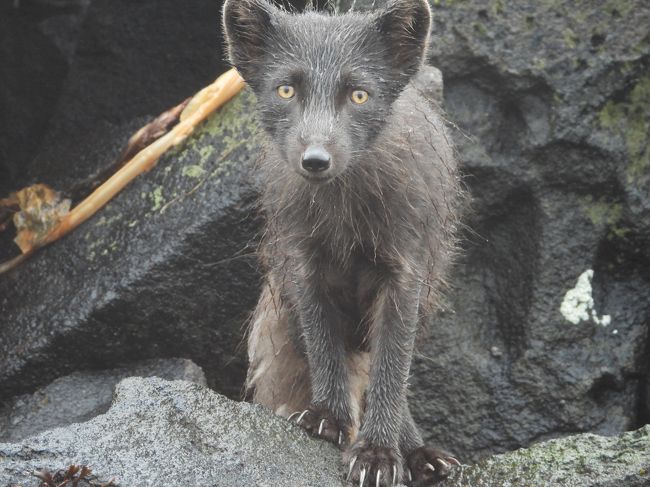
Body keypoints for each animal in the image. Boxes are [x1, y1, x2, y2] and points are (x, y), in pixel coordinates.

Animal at [224, 1, 466, 486]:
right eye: (285, 90)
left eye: (359, 95)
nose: (315, 160)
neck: (344, 219)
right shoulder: (303, 264)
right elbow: (323, 346)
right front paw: (328, 419)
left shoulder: (404, 273)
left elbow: (391, 369)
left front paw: (378, 454)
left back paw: (420, 454)